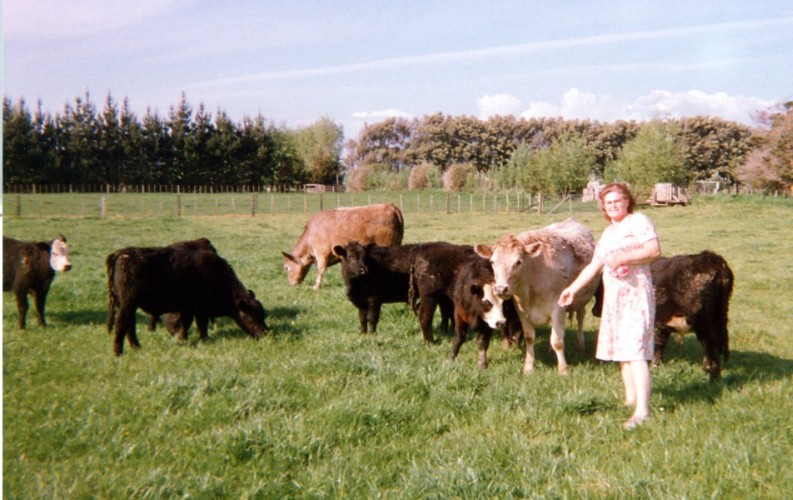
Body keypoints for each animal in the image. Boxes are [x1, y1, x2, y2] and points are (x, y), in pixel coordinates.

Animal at [105, 243, 268, 356]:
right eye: (253, 315)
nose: (265, 332)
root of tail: (120, 253)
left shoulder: (188, 309)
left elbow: (187, 324)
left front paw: (183, 339)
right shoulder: (198, 309)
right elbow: (199, 324)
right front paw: (203, 340)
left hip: (129, 305)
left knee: (129, 325)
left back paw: (136, 347)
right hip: (128, 304)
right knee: (121, 324)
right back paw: (118, 352)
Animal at [474, 219, 596, 376]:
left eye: (518, 262)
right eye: (492, 262)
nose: (500, 288)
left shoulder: (558, 309)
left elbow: (557, 340)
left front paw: (563, 369)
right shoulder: (522, 311)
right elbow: (529, 337)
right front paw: (529, 367)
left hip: (581, 300)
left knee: (580, 317)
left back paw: (580, 343)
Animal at [592, 250, 732, 378]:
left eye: (599, 293)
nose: (594, 311)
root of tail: (711, 258)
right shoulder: (663, 325)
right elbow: (661, 343)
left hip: (703, 325)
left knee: (711, 346)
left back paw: (711, 374)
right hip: (719, 319)